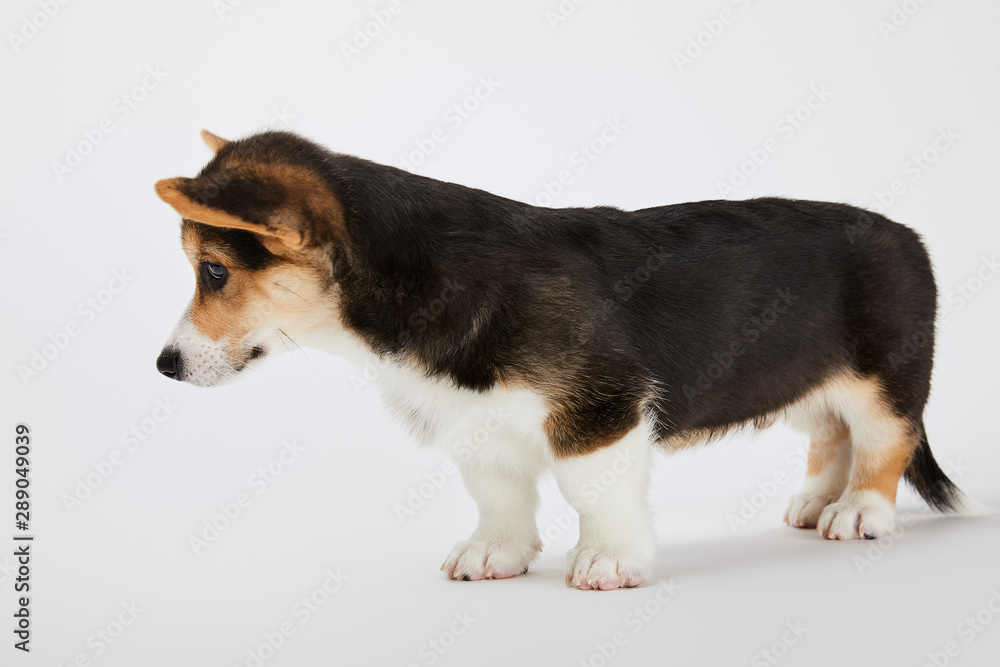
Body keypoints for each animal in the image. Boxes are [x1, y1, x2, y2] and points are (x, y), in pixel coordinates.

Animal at [154, 129, 976, 588]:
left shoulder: (599, 410)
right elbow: (497, 494)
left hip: (882, 378)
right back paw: (815, 502)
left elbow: (594, 492)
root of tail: (911, 235)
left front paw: (609, 562)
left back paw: (859, 511)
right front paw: (496, 554)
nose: (163, 366)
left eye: (214, 272)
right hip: (801, 377)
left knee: (885, 438)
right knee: (830, 432)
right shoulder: (476, 421)